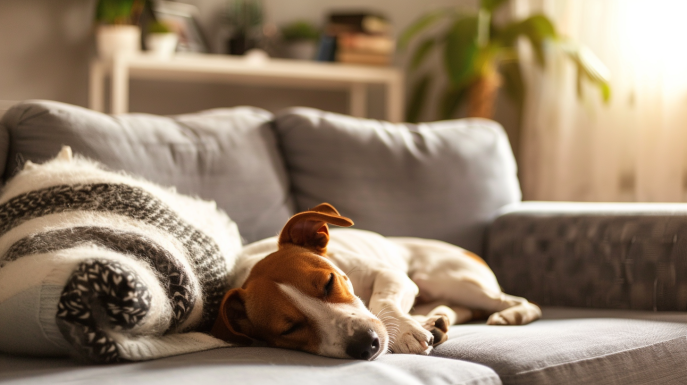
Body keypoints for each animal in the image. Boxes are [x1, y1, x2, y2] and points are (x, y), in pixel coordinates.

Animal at [212, 204, 540, 360]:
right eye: (289, 329)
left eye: (329, 282)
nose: (365, 345)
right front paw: (415, 328)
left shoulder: (391, 275)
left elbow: (381, 301)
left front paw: (404, 332)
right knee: (458, 309)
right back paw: (435, 320)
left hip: (448, 280)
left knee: (521, 302)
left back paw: (512, 315)